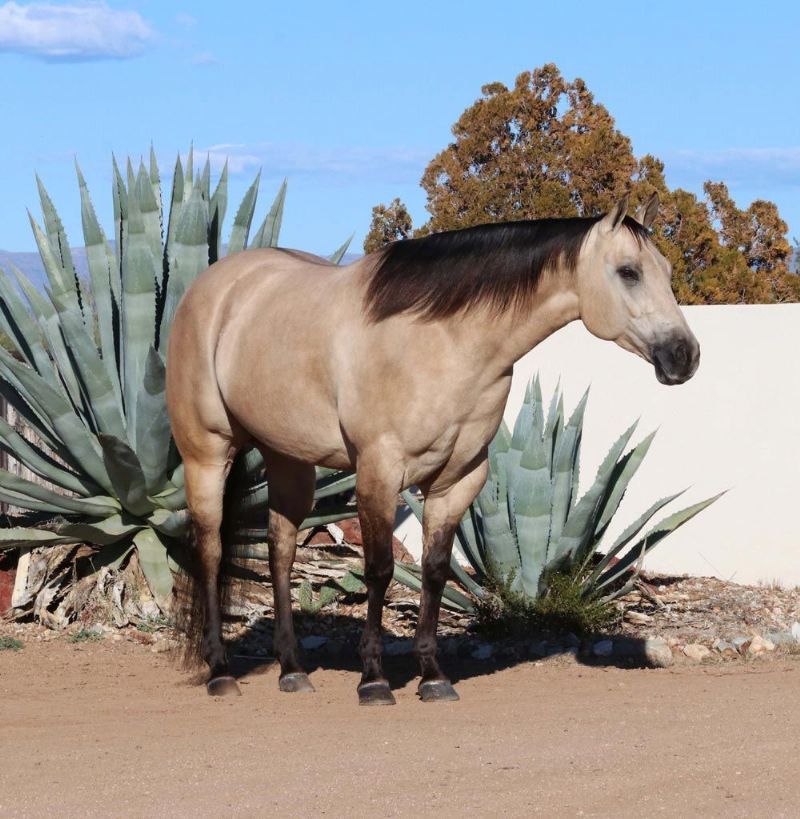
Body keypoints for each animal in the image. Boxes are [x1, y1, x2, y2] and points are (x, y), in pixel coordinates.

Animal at [166, 192, 700, 704]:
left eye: (667, 272)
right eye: (628, 272)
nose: (685, 356)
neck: (441, 341)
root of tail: (213, 288)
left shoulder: (457, 482)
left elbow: (436, 571)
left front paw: (433, 676)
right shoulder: (378, 473)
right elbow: (379, 570)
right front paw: (374, 680)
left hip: (288, 458)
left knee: (281, 548)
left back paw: (293, 670)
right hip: (207, 454)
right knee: (210, 549)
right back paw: (220, 671)